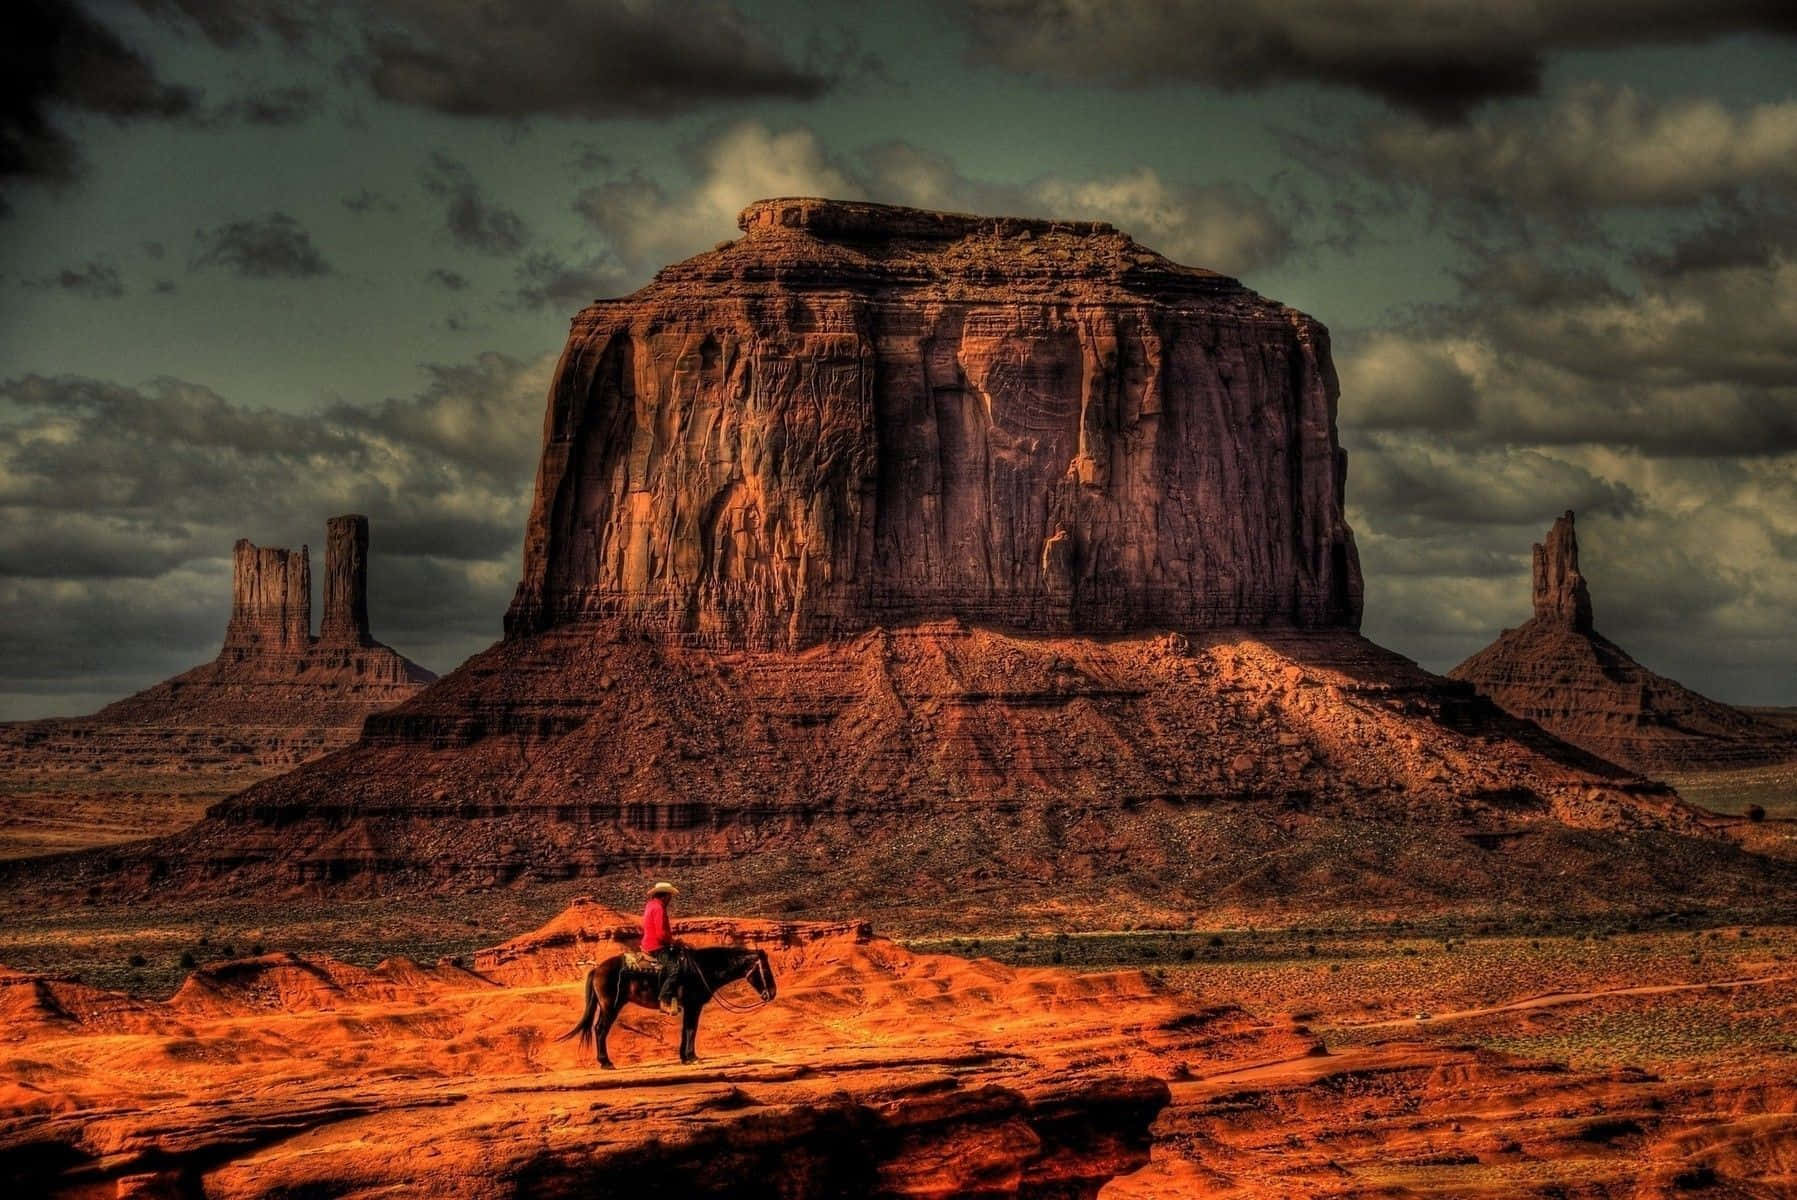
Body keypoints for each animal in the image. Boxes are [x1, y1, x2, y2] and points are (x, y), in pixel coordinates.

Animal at [557, 948, 776, 1070]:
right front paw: (692, 1057)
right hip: (610, 1006)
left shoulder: (689, 1006)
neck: (702, 969)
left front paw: (684, 1057)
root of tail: (597, 969)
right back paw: (606, 1062)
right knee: (600, 1029)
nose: (772, 993)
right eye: (765, 970)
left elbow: (686, 1030)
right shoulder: (693, 1005)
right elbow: (691, 1029)